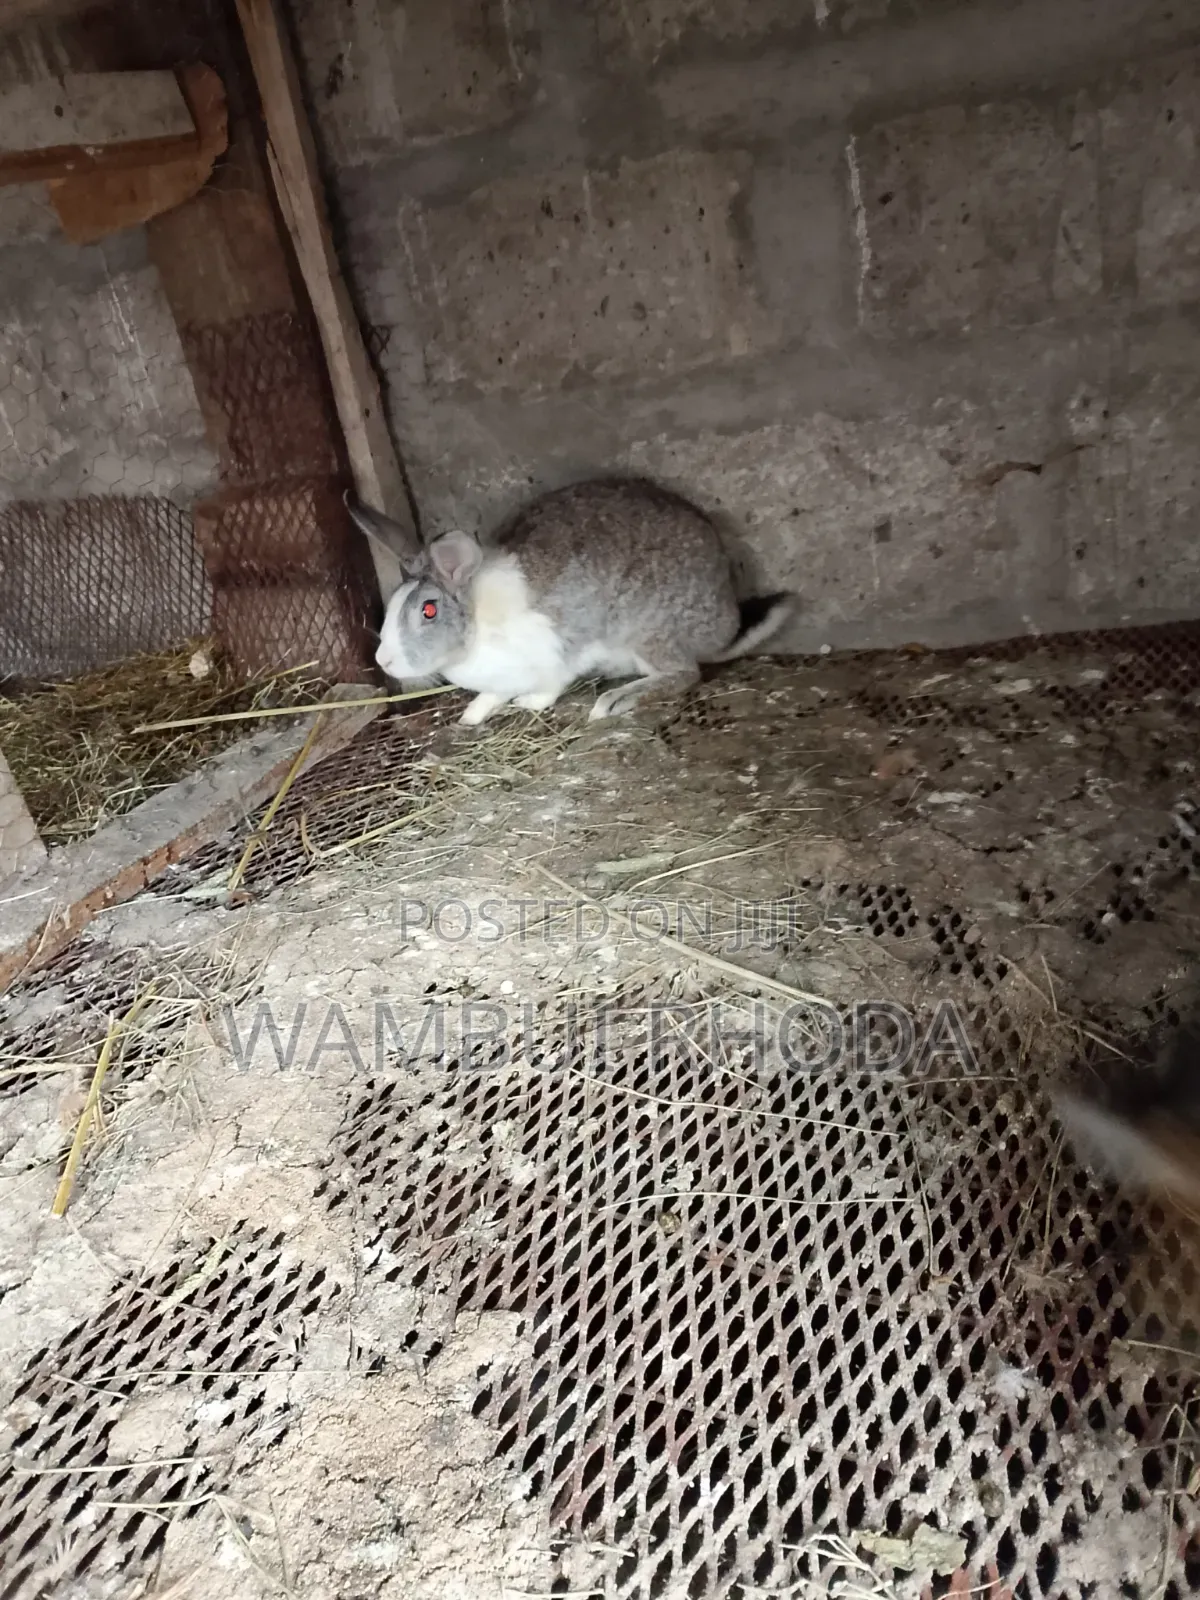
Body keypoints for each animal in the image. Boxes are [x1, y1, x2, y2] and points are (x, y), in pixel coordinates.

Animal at [346, 476, 795, 728]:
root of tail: (725, 625)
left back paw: (615, 700)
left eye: (429, 610)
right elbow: (492, 696)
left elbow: (549, 688)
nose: (384, 661)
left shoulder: (557, 655)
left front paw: (528, 703)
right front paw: (471, 716)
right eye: (391, 604)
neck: (474, 624)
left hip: (648, 632)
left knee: (685, 673)